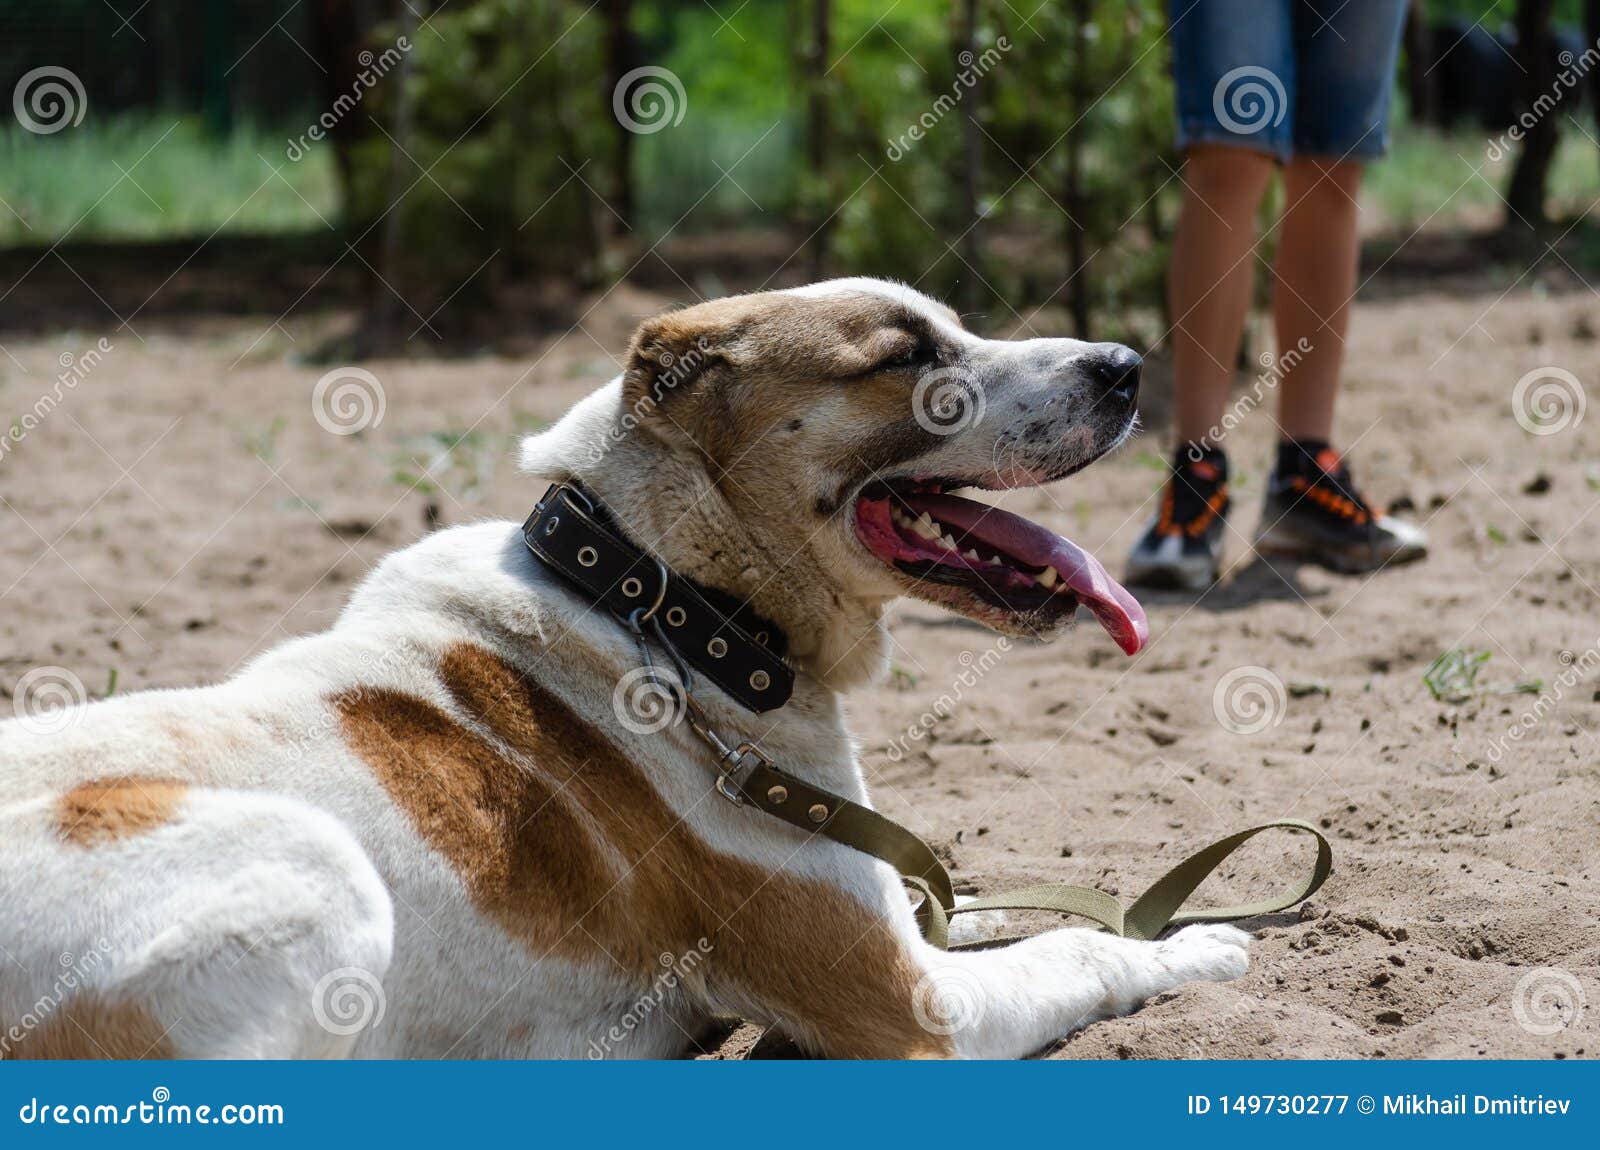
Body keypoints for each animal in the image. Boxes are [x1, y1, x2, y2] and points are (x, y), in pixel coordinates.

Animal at [0, 276, 1248, 1062]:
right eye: (906, 357)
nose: (1126, 365)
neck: (664, 606)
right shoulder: (914, 1007)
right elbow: (1079, 947)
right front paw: (1191, 944)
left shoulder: (891, 913)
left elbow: (991, 904)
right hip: (312, 863)